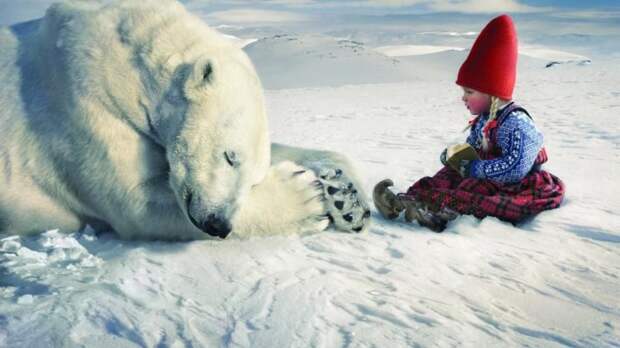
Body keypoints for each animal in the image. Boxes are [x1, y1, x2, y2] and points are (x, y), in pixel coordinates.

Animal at [0, 0, 368, 239]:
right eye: (229, 156)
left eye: (253, 180)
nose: (218, 224)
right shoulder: (83, 101)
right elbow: (138, 202)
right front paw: (306, 198)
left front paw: (345, 196)